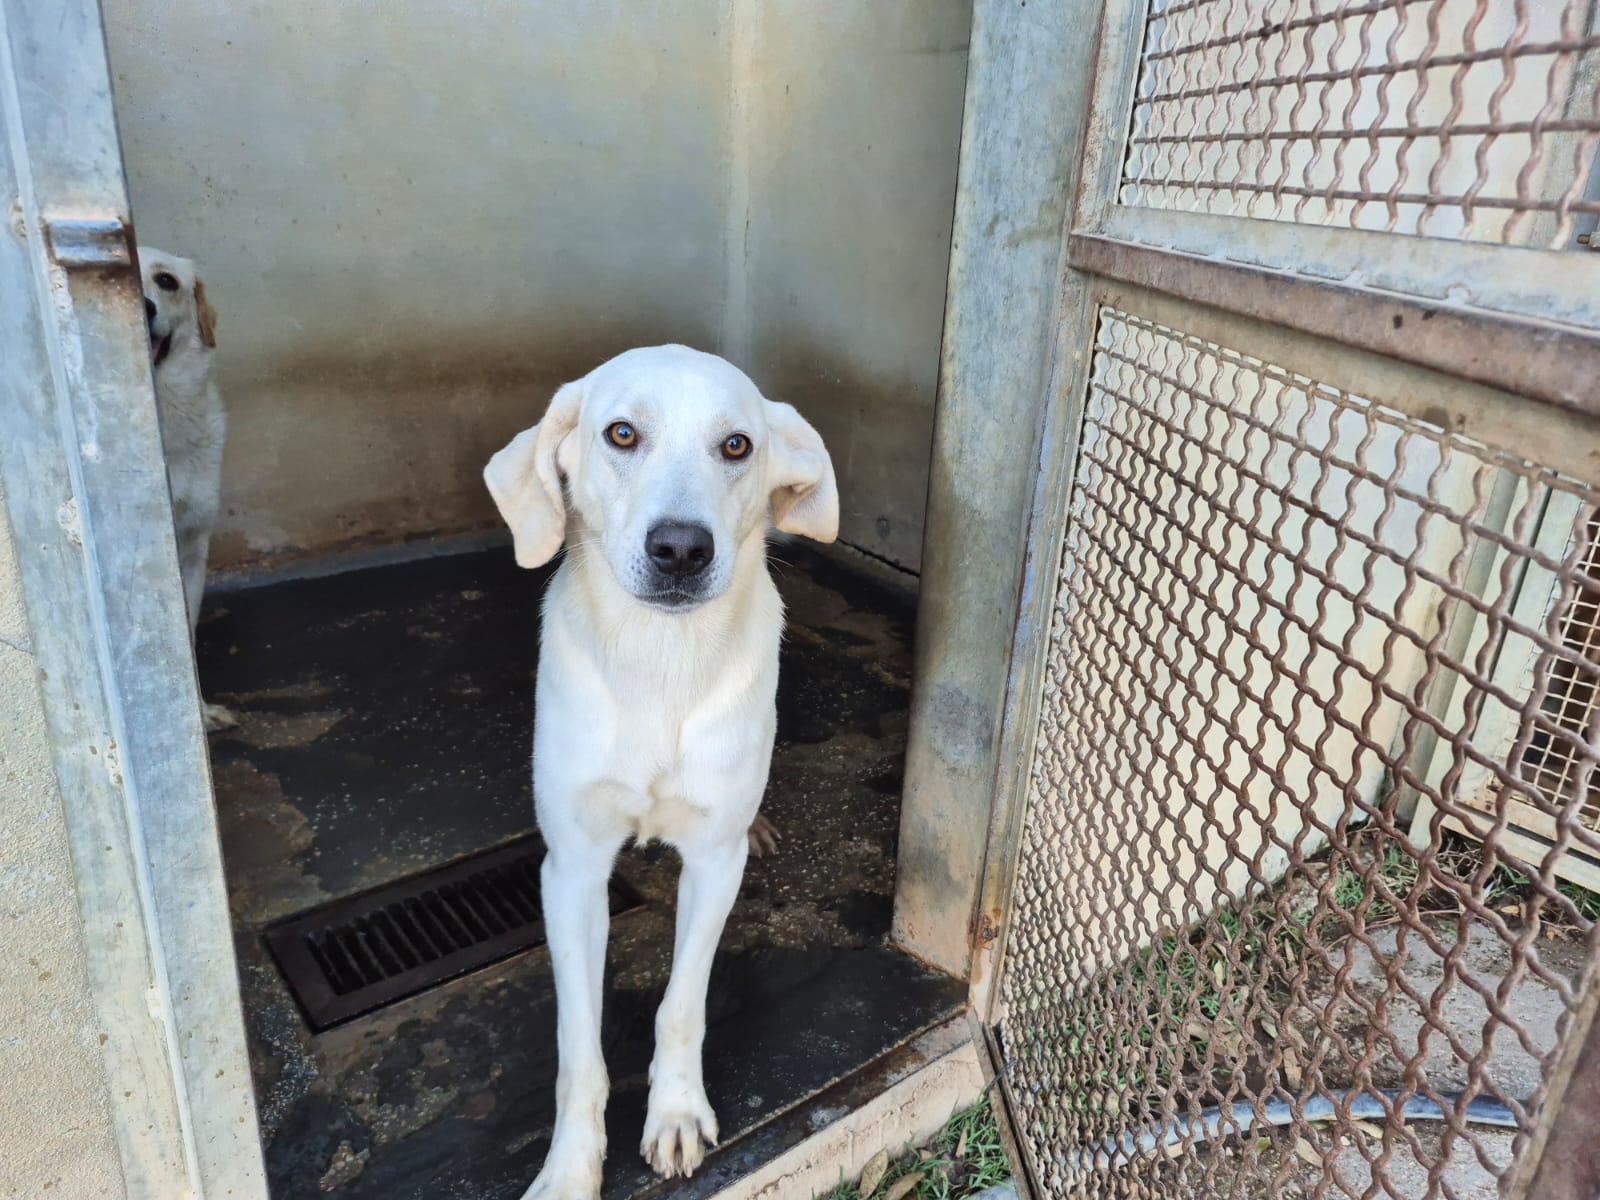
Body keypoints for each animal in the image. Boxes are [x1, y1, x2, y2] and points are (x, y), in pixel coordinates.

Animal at [485, 345, 838, 1199]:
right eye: (621, 432)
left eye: (737, 445)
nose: (681, 548)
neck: (659, 662)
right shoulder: (572, 871)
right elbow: (577, 1049)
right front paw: (570, 1169)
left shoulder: (713, 862)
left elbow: (681, 1004)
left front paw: (675, 1112)